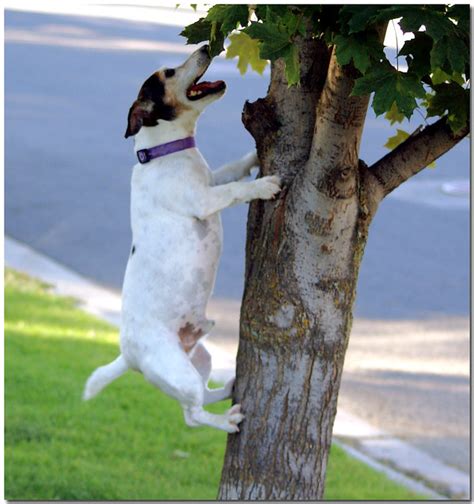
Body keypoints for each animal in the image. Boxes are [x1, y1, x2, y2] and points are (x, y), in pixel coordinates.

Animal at [82, 45, 282, 434]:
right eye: (170, 73)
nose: (207, 46)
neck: (165, 152)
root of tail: (128, 356)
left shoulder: (212, 180)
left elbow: (232, 170)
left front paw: (254, 156)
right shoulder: (204, 200)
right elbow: (236, 189)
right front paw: (264, 185)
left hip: (200, 356)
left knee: (202, 395)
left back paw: (229, 389)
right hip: (178, 372)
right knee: (192, 416)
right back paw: (229, 421)